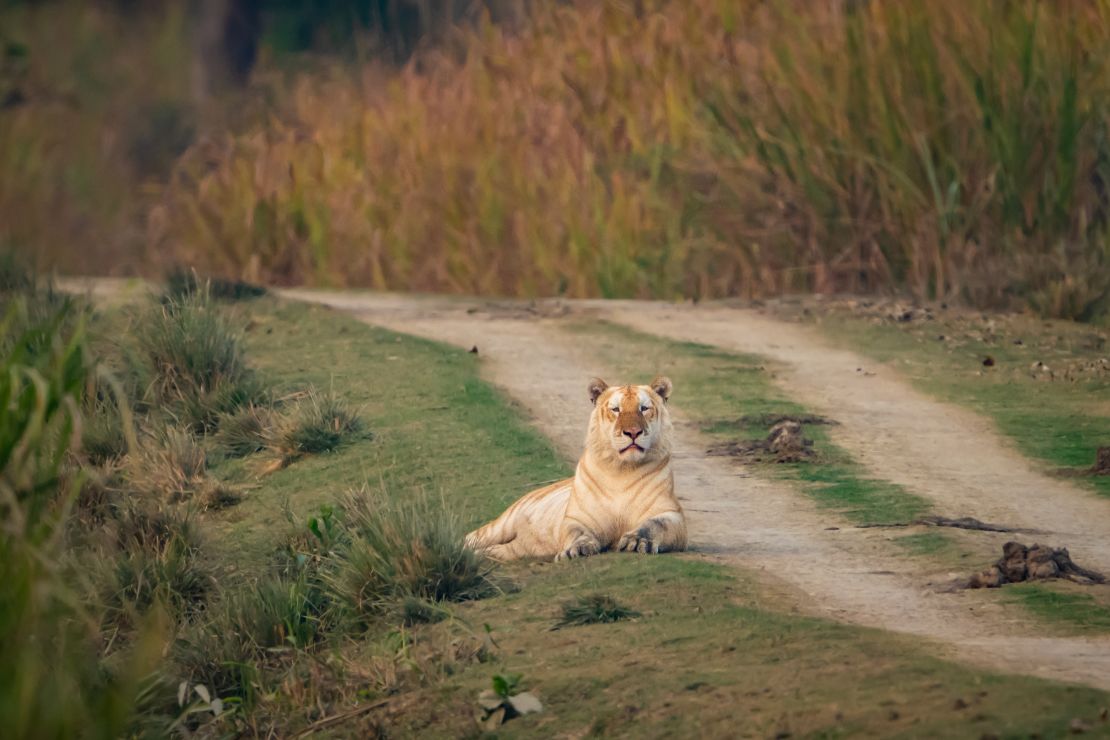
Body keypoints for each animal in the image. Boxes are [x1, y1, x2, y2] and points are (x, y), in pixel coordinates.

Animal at [461, 377, 683, 561]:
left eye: (644, 408)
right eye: (616, 409)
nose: (633, 432)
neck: (622, 470)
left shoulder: (671, 513)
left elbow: (654, 525)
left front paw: (637, 542)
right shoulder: (577, 517)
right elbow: (577, 533)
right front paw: (578, 549)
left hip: (515, 549)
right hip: (503, 523)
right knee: (471, 537)